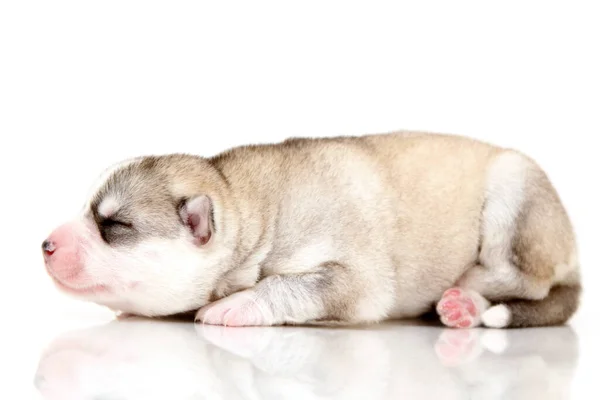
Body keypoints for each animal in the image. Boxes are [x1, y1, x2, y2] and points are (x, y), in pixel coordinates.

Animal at [38, 131, 580, 328]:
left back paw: (465, 294)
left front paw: (236, 304)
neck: (251, 207)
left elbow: (297, 284)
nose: (45, 244)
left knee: (523, 279)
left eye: (114, 225)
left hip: (515, 192)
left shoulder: (359, 278)